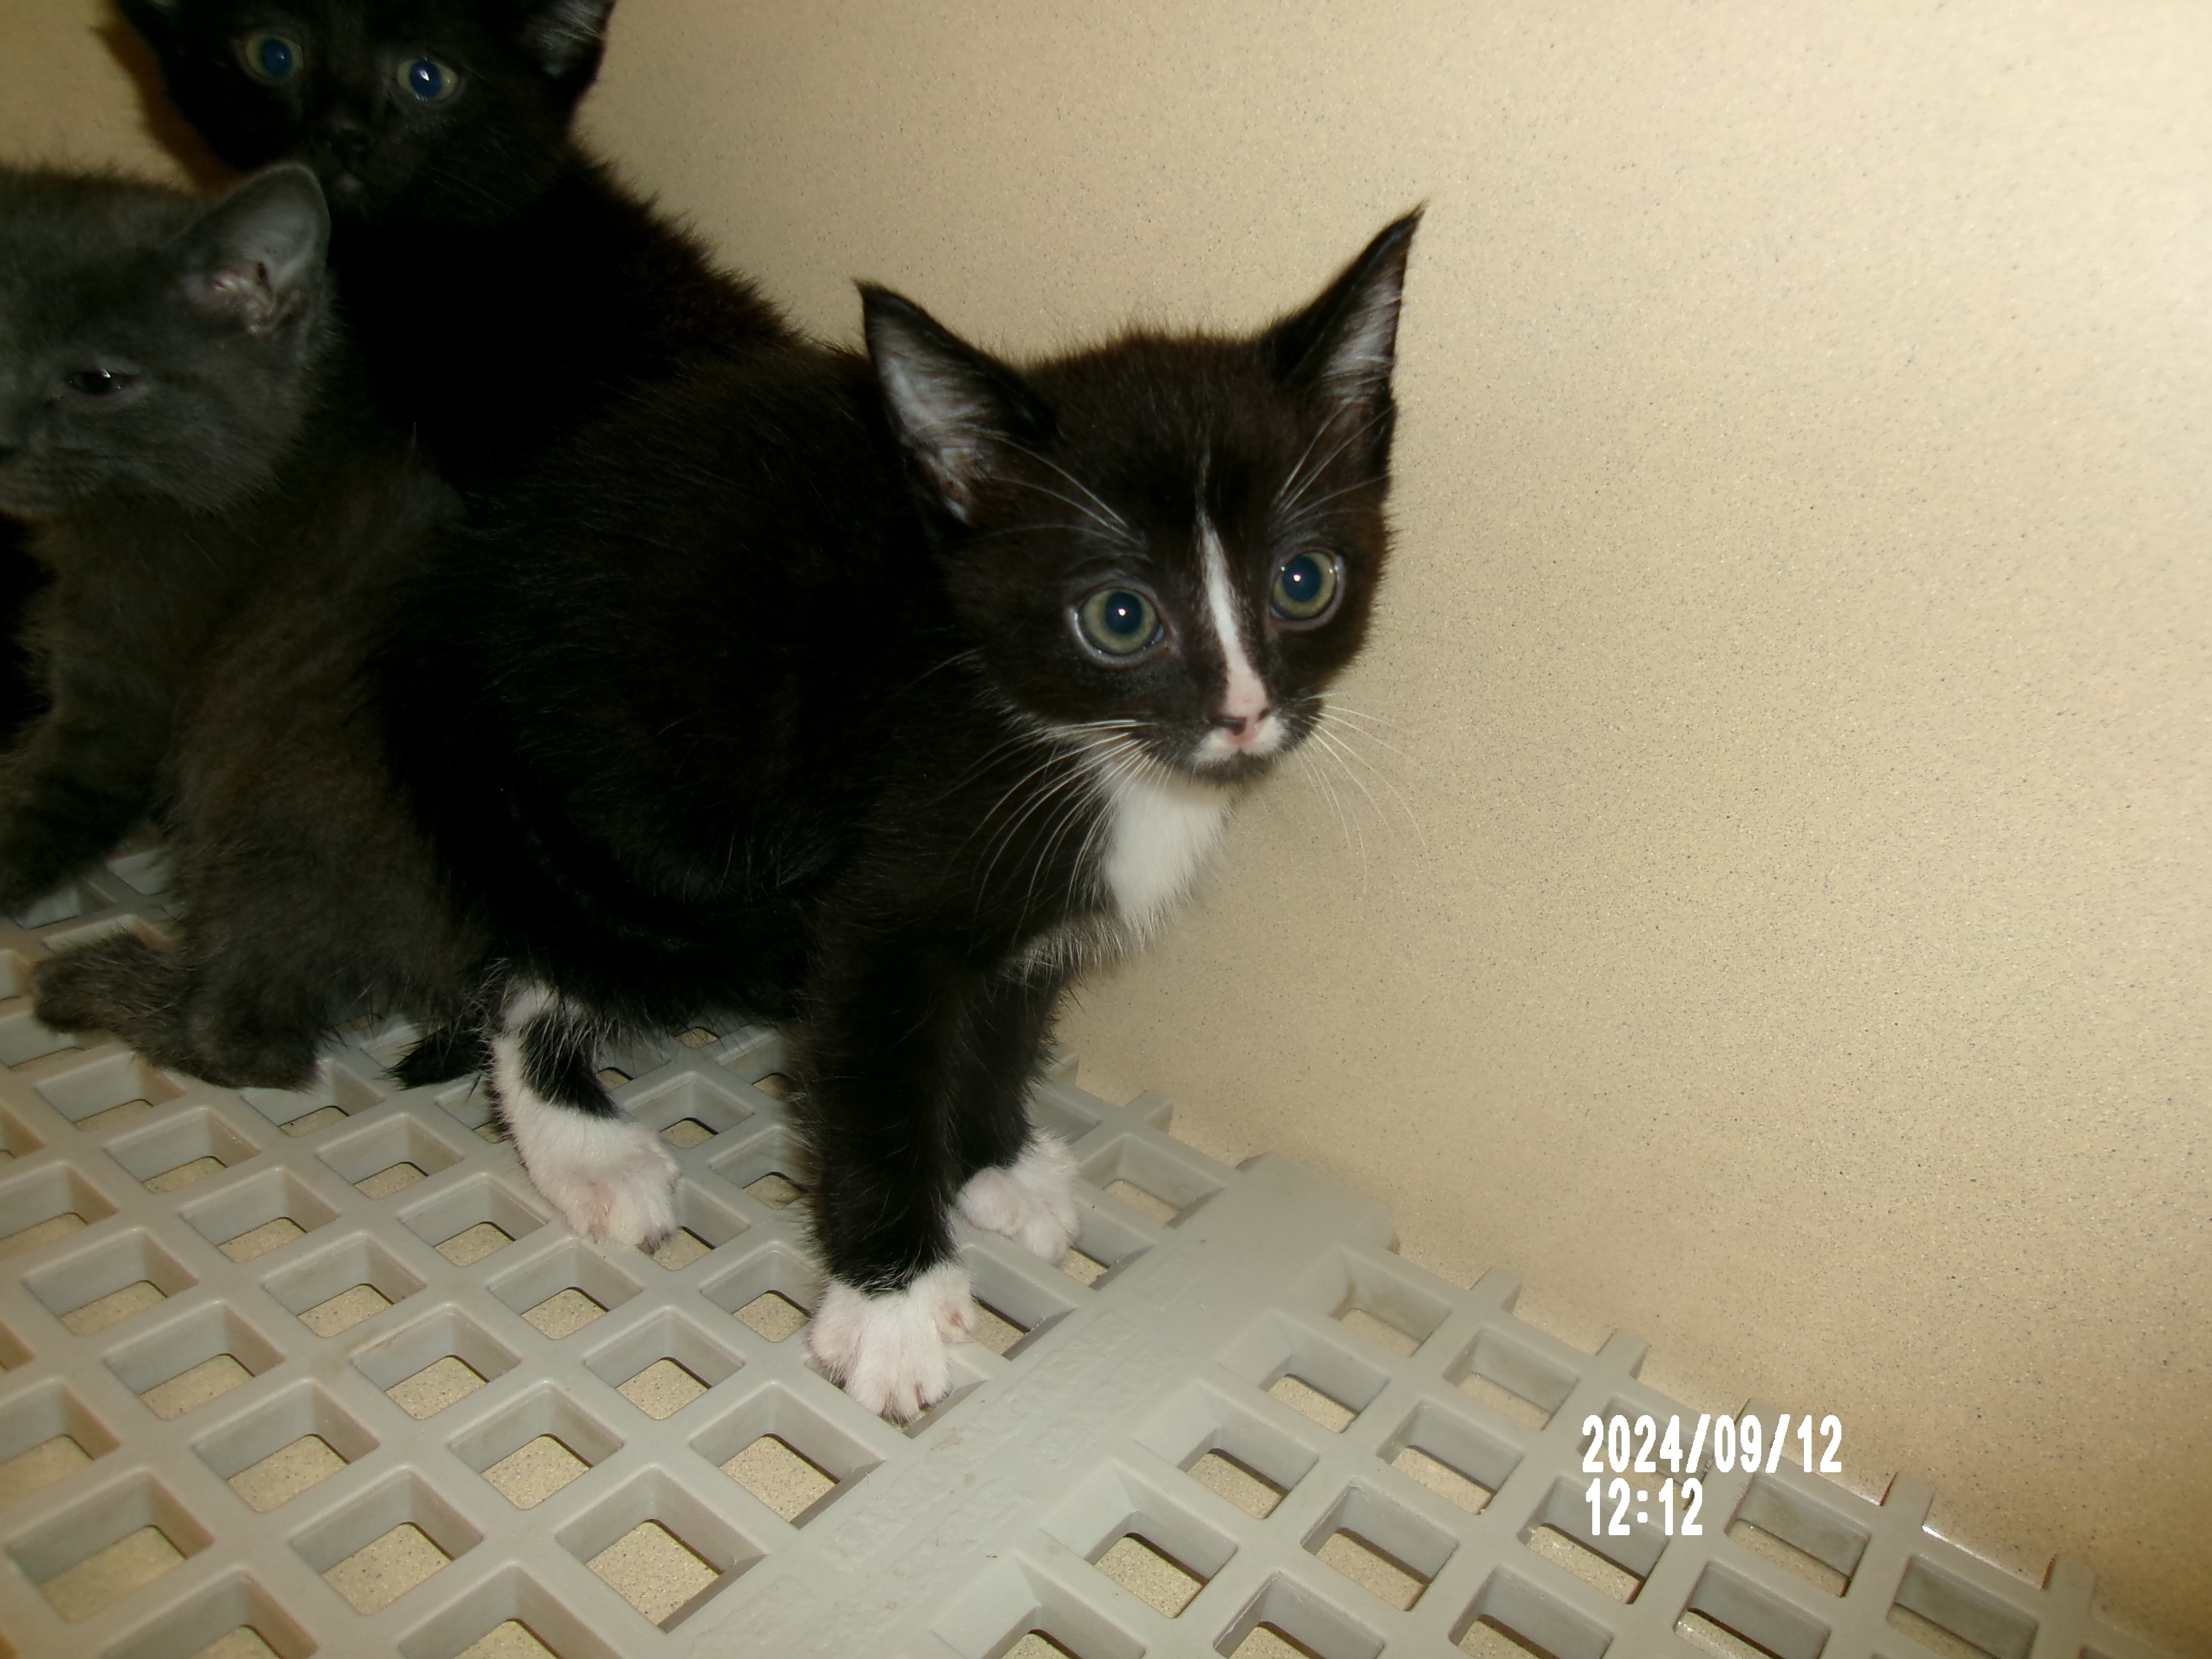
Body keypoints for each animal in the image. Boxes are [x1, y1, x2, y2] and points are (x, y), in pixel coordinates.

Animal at [0, 162, 478, 1083]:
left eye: (98, 381)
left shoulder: (125, 684)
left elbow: (45, 799)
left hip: (279, 814)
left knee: (252, 1041)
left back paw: (93, 981)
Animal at [367, 214, 1416, 1424]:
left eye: (1303, 581)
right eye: (1119, 616)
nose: (1242, 714)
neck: (1073, 743)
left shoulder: (1037, 913)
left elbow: (1005, 1018)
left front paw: (997, 1163)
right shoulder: (883, 902)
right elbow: (875, 1081)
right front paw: (892, 1305)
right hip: (650, 808)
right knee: (541, 959)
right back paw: (584, 1147)